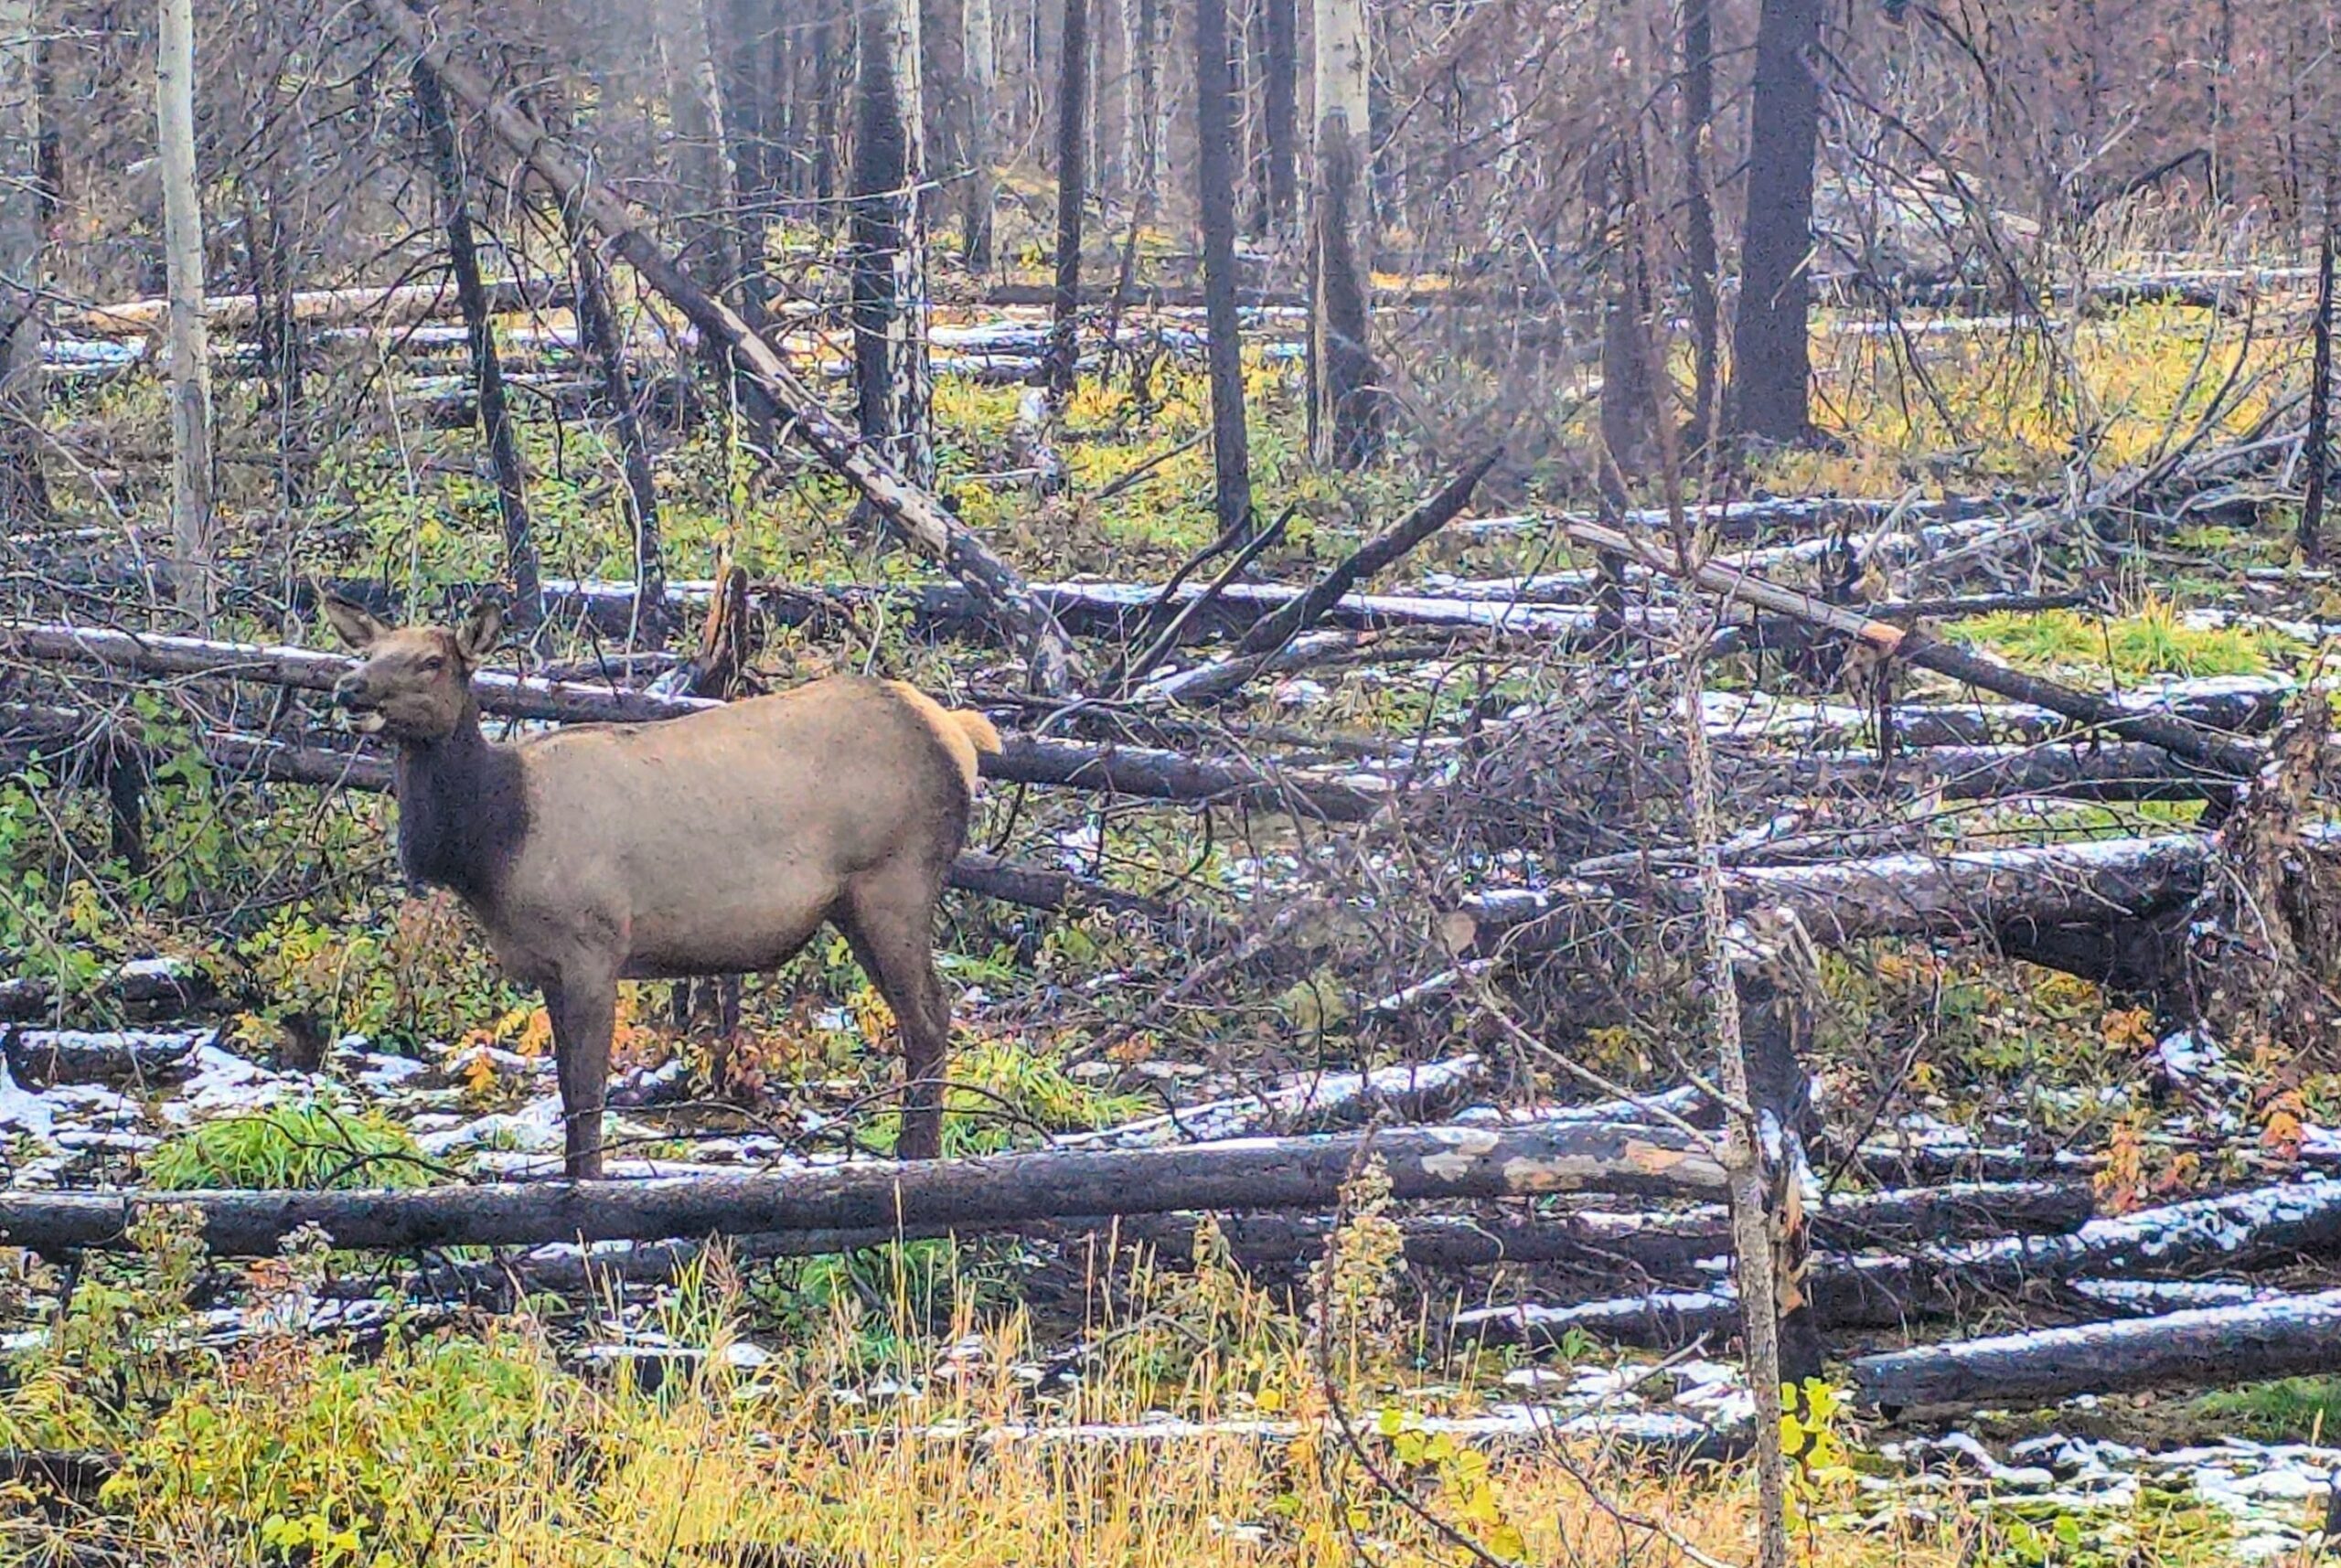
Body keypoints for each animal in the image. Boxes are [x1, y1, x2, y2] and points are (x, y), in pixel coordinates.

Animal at [320, 596, 1001, 1178]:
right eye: (369, 651)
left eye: (432, 661)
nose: (349, 688)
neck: (495, 844)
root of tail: (959, 733)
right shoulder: (546, 965)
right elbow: (565, 1086)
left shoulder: (594, 946)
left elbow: (587, 1092)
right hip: (855, 906)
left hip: (896, 879)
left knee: (930, 1017)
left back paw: (919, 1157)